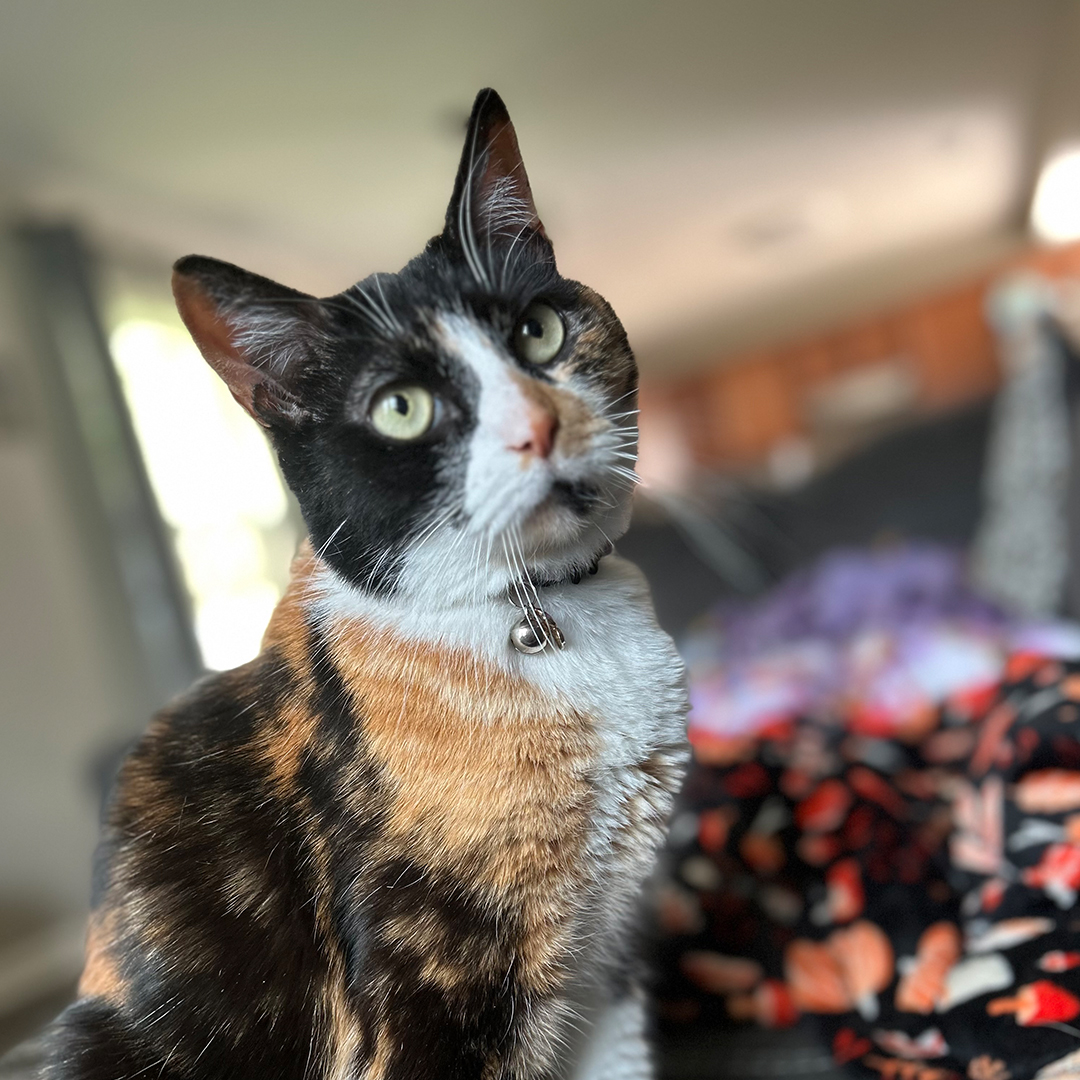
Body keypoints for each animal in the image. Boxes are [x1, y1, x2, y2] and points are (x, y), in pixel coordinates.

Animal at [39, 86, 691, 1080]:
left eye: (537, 329)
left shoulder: (606, 964)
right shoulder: (421, 984)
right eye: (401, 408)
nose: (539, 425)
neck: (540, 614)